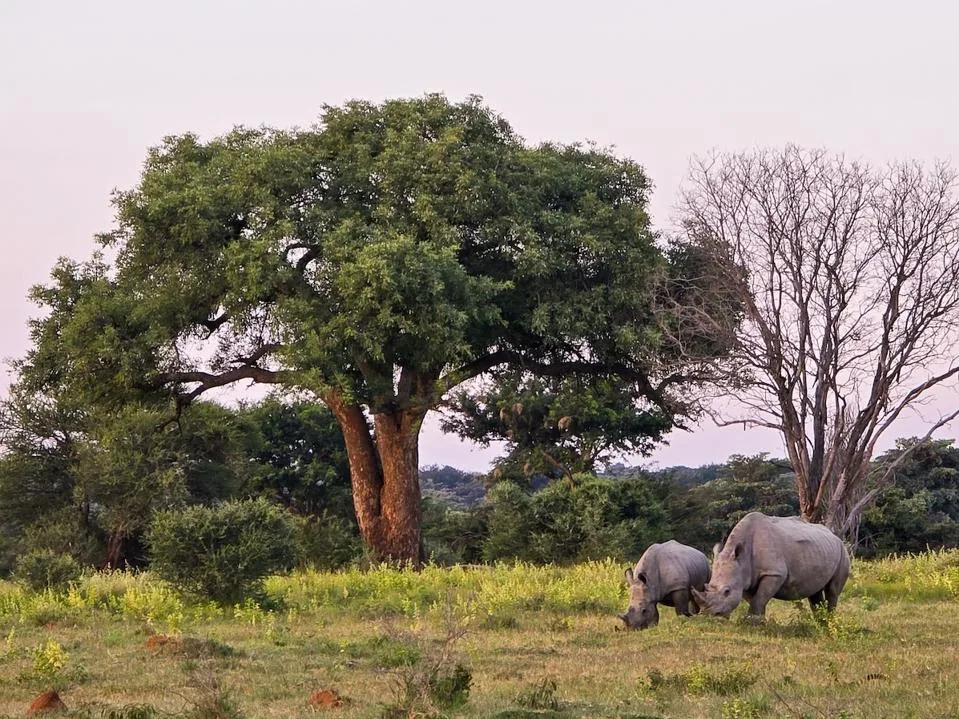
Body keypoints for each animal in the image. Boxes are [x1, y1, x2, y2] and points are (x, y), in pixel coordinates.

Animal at [691, 512, 850, 620]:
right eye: (706, 587)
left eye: (727, 591)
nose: (709, 615)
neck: (742, 559)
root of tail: (834, 535)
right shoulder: (746, 577)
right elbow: (756, 599)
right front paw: (759, 621)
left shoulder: (774, 573)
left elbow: (760, 597)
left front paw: (751, 622)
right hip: (820, 550)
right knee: (814, 592)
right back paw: (821, 622)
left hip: (842, 551)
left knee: (832, 591)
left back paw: (830, 623)